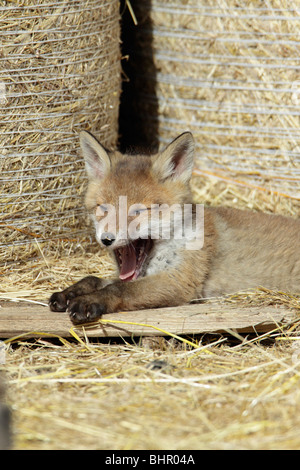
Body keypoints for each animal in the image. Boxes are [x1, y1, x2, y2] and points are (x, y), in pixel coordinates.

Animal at [49, 131, 300, 324]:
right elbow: (94, 279)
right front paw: (70, 293)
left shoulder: (178, 281)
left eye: (138, 211)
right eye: (103, 208)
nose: (107, 239)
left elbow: (118, 289)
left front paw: (89, 301)